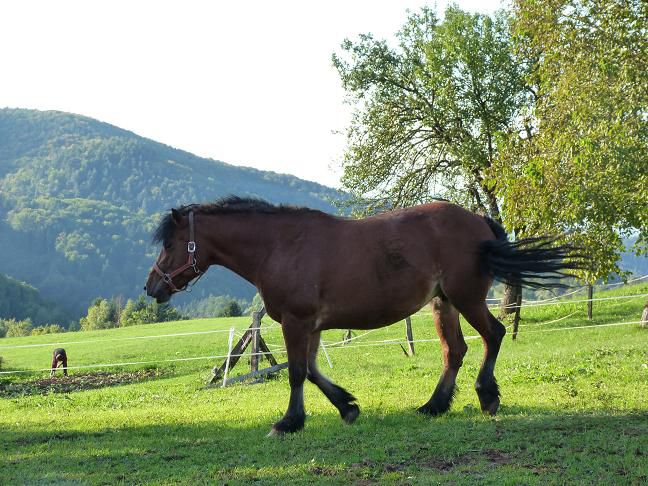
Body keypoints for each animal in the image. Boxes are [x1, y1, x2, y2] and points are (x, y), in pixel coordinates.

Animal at [146, 196, 576, 434]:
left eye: (170, 243)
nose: (152, 287)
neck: (281, 245)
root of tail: (477, 220)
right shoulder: (311, 325)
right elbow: (313, 371)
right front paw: (348, 407)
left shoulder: (296, 321)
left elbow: (297, 373)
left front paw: (289, 422)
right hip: (445, 304)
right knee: (454, 351)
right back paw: (434, 405)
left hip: (467, 298)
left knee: (494, 335)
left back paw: (487, 396)